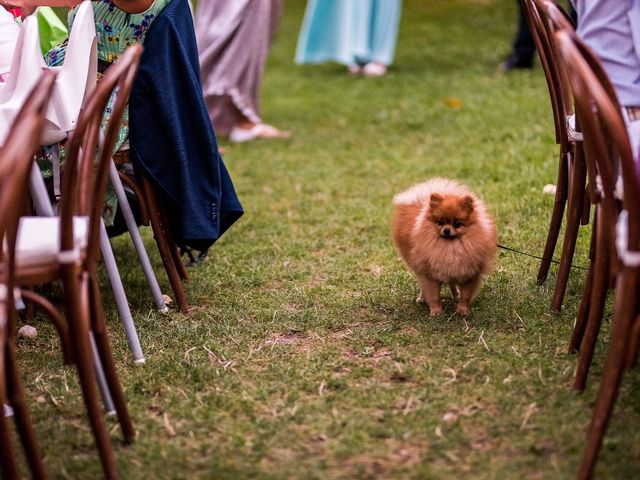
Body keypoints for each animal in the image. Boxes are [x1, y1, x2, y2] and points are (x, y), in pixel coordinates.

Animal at [390, 178, 500, 316]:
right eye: (440, 222)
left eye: (457, 223)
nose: (446, 230)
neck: (450, 247)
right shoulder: (429, 274)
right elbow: (433, 295)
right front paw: (436, 311)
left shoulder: (469, 273)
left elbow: (465, 296)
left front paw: (462, 310)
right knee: (422, 285)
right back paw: (421, 298)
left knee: (452, 283)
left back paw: (455, 294)